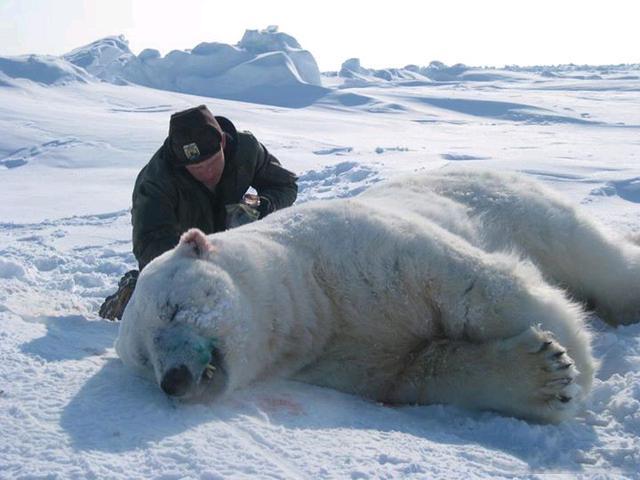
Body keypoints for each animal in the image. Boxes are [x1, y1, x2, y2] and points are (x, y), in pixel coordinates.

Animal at [115, 170, 640, 424]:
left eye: (173, 309)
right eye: (144, 358)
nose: (175, 380)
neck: (312, 295)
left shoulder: (365, 251)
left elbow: (477, 287)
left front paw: (576, 358)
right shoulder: (337, 359)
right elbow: (416, 372)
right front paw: (545, 376)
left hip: (524, 208)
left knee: (595, 258)